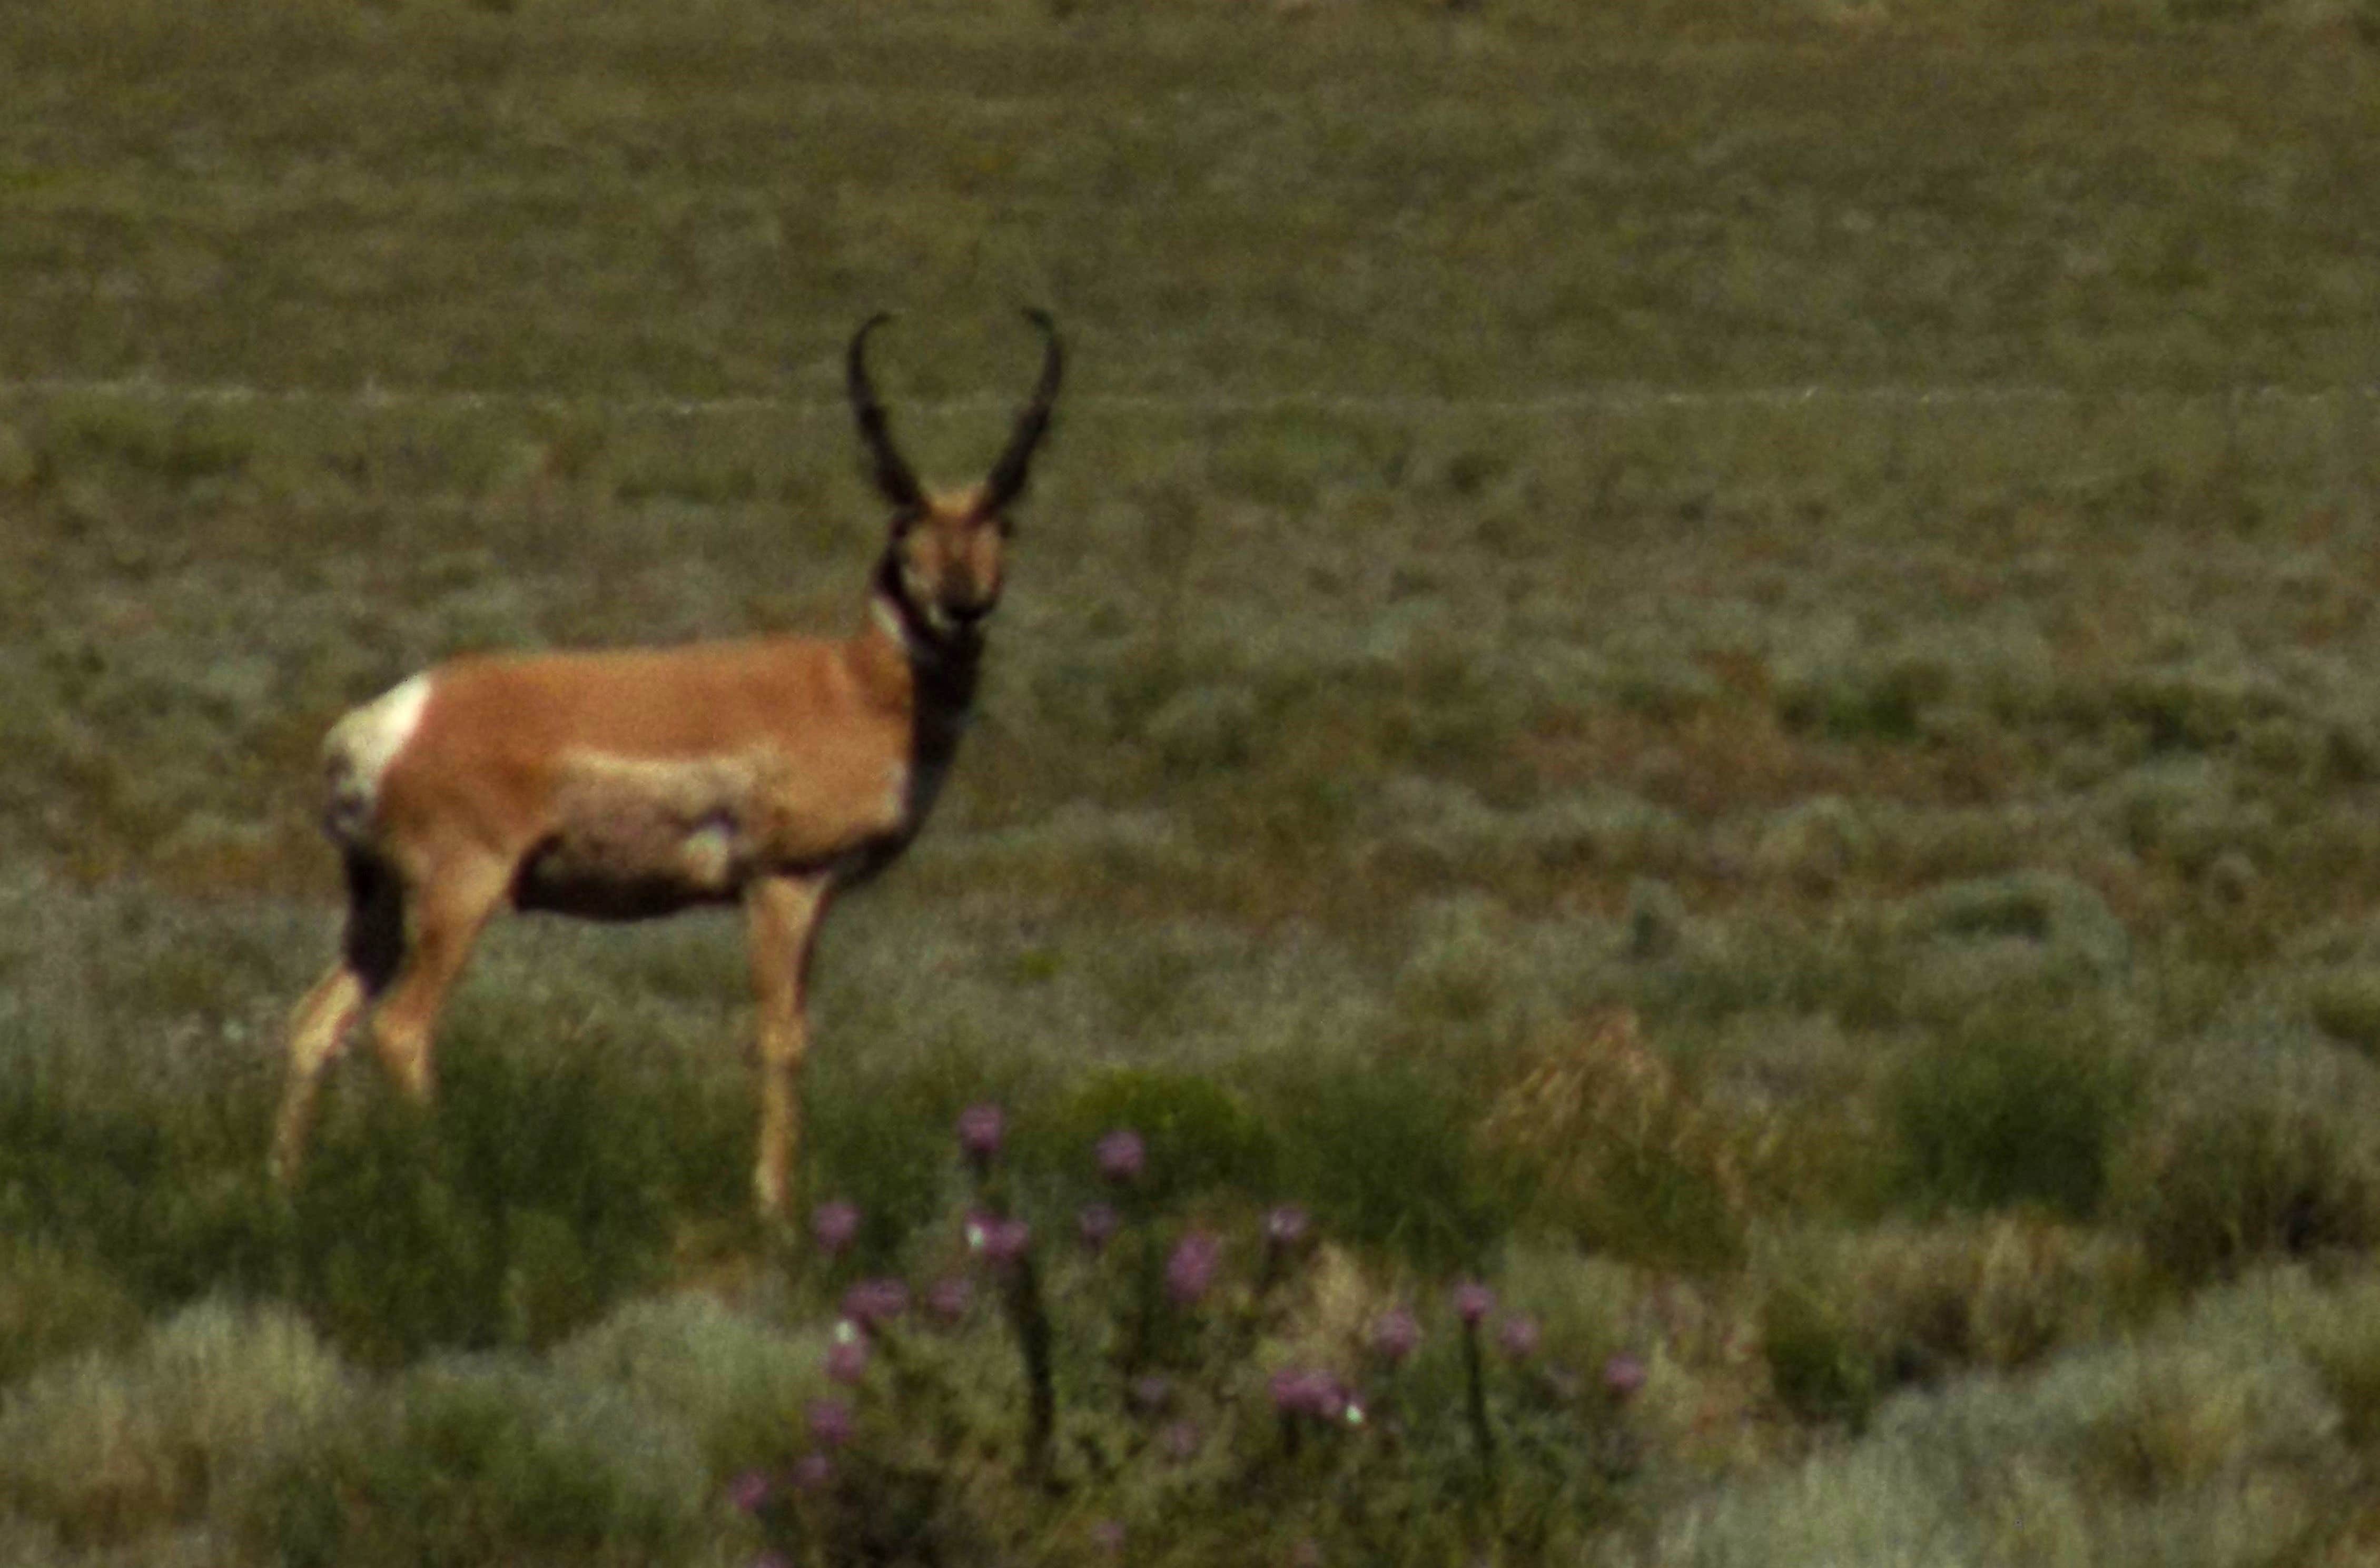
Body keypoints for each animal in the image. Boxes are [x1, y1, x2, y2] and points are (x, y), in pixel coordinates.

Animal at [270, 311, 1061, 1228]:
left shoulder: (818, 897)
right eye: (904, 522)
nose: (964, 607)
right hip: (460, 893)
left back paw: (285, 1193)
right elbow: (780, 1040)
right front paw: (775, 1211)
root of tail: (386, 721)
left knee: (315, 1023)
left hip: (379, 905)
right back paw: (448, 1196)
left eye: (1004, 523)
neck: (849, 685)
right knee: (401, 1029)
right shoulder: (782, 886)